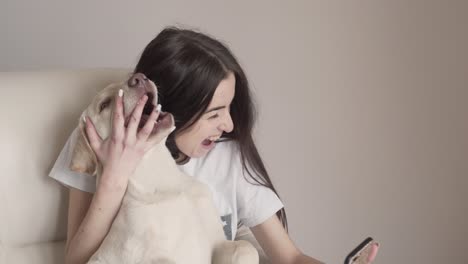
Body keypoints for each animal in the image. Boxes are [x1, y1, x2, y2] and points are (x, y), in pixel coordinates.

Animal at [70, 73, 260, 264]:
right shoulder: (148, 257)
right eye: (104, 105)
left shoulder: (218, 241)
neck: (159, 176)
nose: (139, 78)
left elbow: (246, 247)